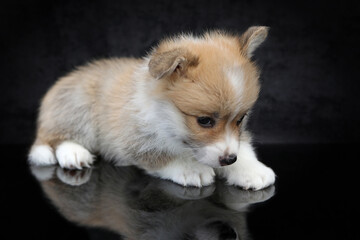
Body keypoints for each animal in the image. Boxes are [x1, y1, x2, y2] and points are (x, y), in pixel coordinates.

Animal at [28, 26, 276, 190]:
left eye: (240, 119)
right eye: (204, 121)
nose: (229, 160)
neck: (164, 115)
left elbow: (242, 147)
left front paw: (251, 170)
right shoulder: (134, 140)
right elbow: (161, 155)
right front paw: (191, 169)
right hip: (78, 108)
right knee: (57, 138)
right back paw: (74, 153)